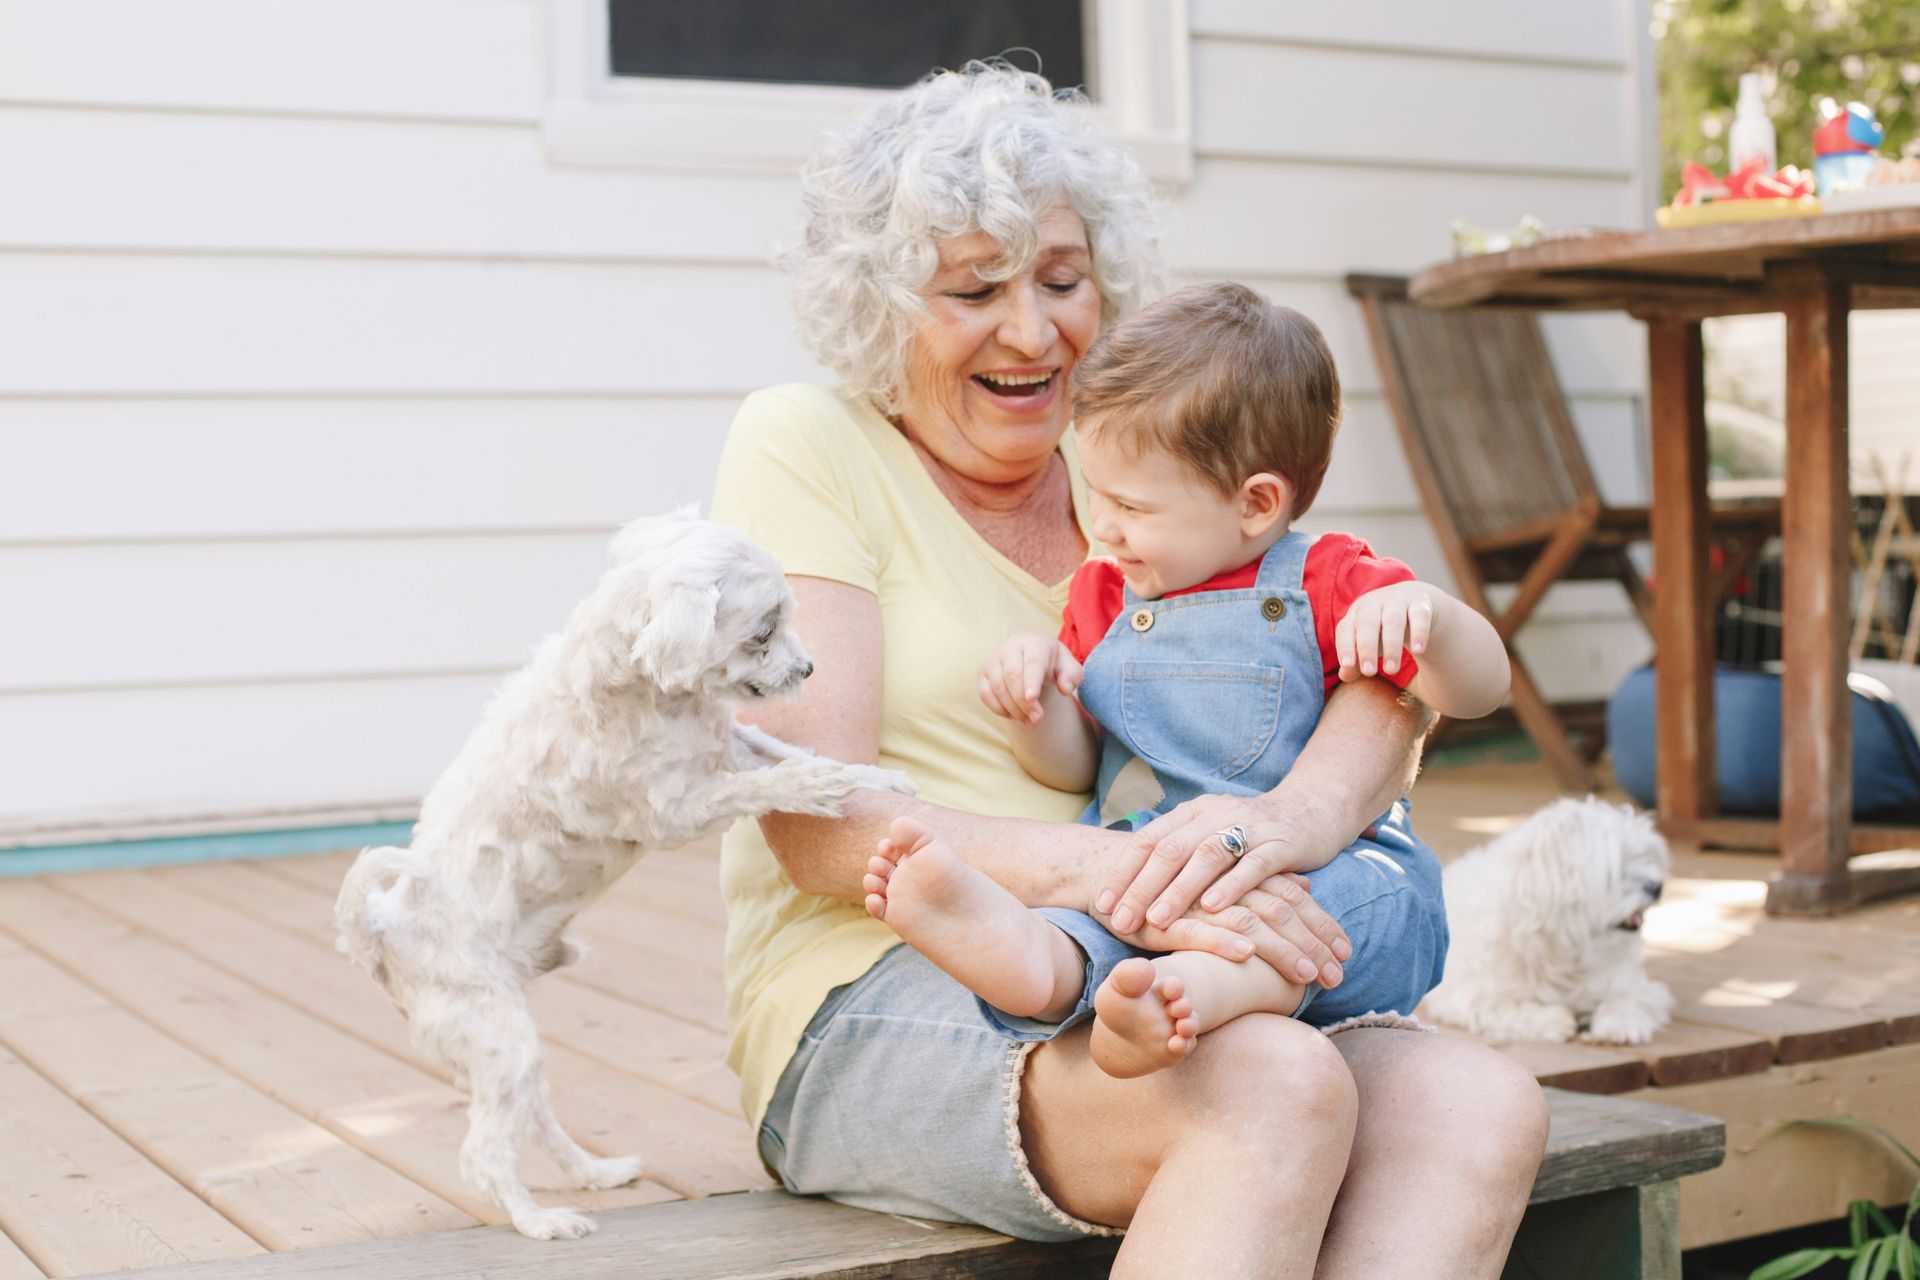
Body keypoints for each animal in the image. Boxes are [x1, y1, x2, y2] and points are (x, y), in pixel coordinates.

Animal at [334, 510, 910, 1243]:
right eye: (763, 631)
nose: (808, 667)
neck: (660, 693)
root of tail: (379, 931)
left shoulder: (731, 745)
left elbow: (791, 752)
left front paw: (872, 778)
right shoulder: (680, 808)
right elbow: (779, 779)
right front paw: (826, 787)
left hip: (504, 1050)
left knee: (533, 1117)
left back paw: (594, 1172)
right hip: (497, 1034)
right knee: (482, 1154)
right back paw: (540, 1221)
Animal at [1420, 802, 1674, 1051]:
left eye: (1646, 857)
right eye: (1615, 870)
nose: (1657, 886)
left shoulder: (1635, 987)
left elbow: (1625, 1001)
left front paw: (1617, 1027)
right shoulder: (1471, 995)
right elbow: (1508, 1008)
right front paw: (1556, 1019)